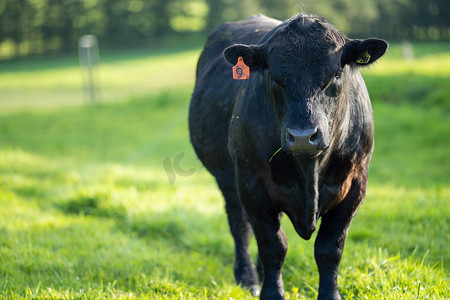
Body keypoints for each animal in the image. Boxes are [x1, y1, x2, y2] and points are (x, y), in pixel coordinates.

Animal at [188, 12, 388, 298]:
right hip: (228, 180)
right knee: (240, 226)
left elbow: (330, 247)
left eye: (336, 74)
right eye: (273, 77)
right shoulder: (251, 183)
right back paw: (248, 277)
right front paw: (271, 292)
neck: (309, 171)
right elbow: (273, 245)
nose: (303, 135)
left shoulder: (355, 183)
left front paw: (329, 294)